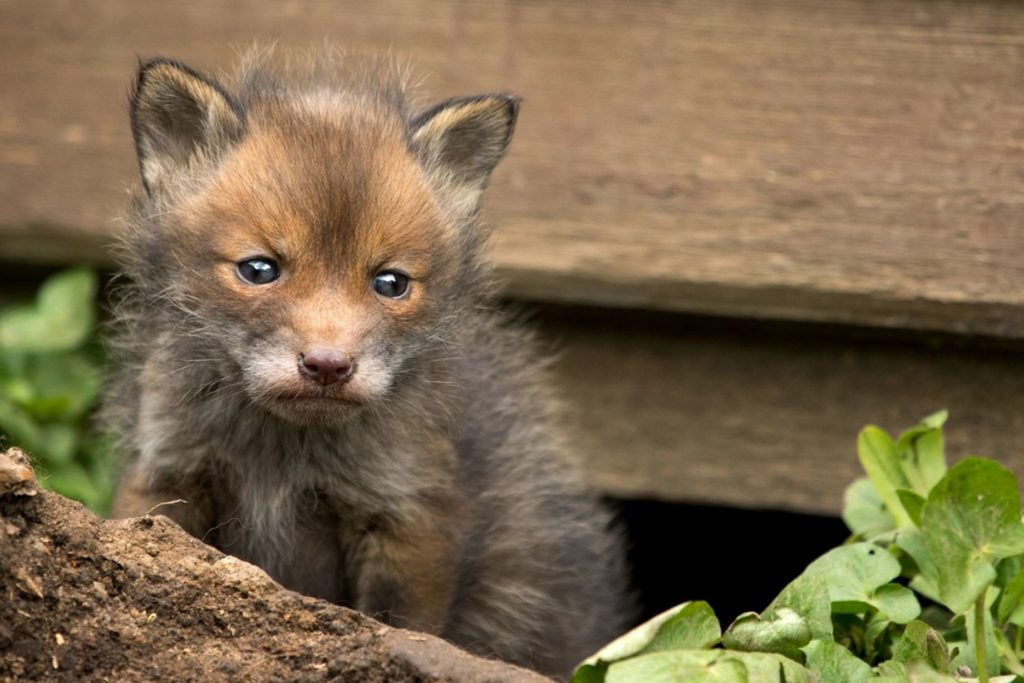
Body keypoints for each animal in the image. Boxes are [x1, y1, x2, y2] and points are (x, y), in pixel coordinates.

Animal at [104, 50, 630, 677]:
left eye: (390, 282)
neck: (281, 456)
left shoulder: (409, 515)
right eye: (259, 270)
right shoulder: (166, 472)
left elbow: (398, 626)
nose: (328, 366)